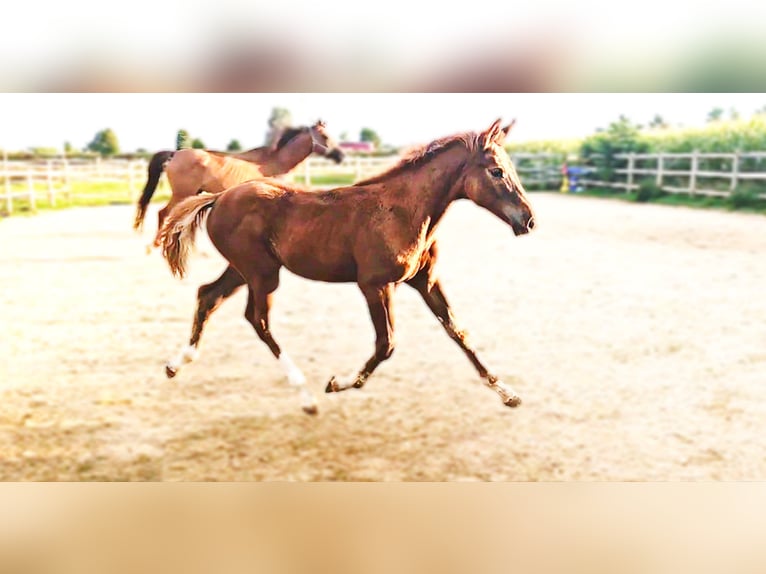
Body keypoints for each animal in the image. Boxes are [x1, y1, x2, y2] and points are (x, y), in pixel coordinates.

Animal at [133, 120, 345, 247]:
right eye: (325, 137)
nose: (341, 156)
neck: (276, 162)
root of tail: (175, 154)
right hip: (182, 193)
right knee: (164, 213)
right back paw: (158, 243)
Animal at [159, 119, 535, 415]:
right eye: (496, 171)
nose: (528, 220)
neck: (404, 211)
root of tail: (219, 197)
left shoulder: (426, 281)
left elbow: (459, 332)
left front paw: (508, 393)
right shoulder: (375, 285)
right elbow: (386, 344)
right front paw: (338, 382)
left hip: (242, 270)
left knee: (208, 296)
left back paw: (176, 365)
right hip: (262, 274)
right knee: (257, 320)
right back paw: (306, 396)